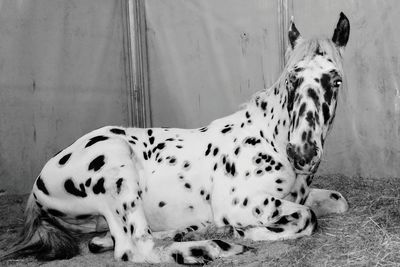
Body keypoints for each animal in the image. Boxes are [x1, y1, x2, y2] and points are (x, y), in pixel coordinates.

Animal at [0, 12, 350, 264]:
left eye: (336, 81)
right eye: (292, 78)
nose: (303, 153)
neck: (268, 138)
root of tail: (39, 184)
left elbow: (336, 202)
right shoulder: (241, 201)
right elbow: (306, 218)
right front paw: (247, 232)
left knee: (107, 239)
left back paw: (186, 231)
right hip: (115, 168)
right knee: (135, 247)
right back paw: (213, 247)